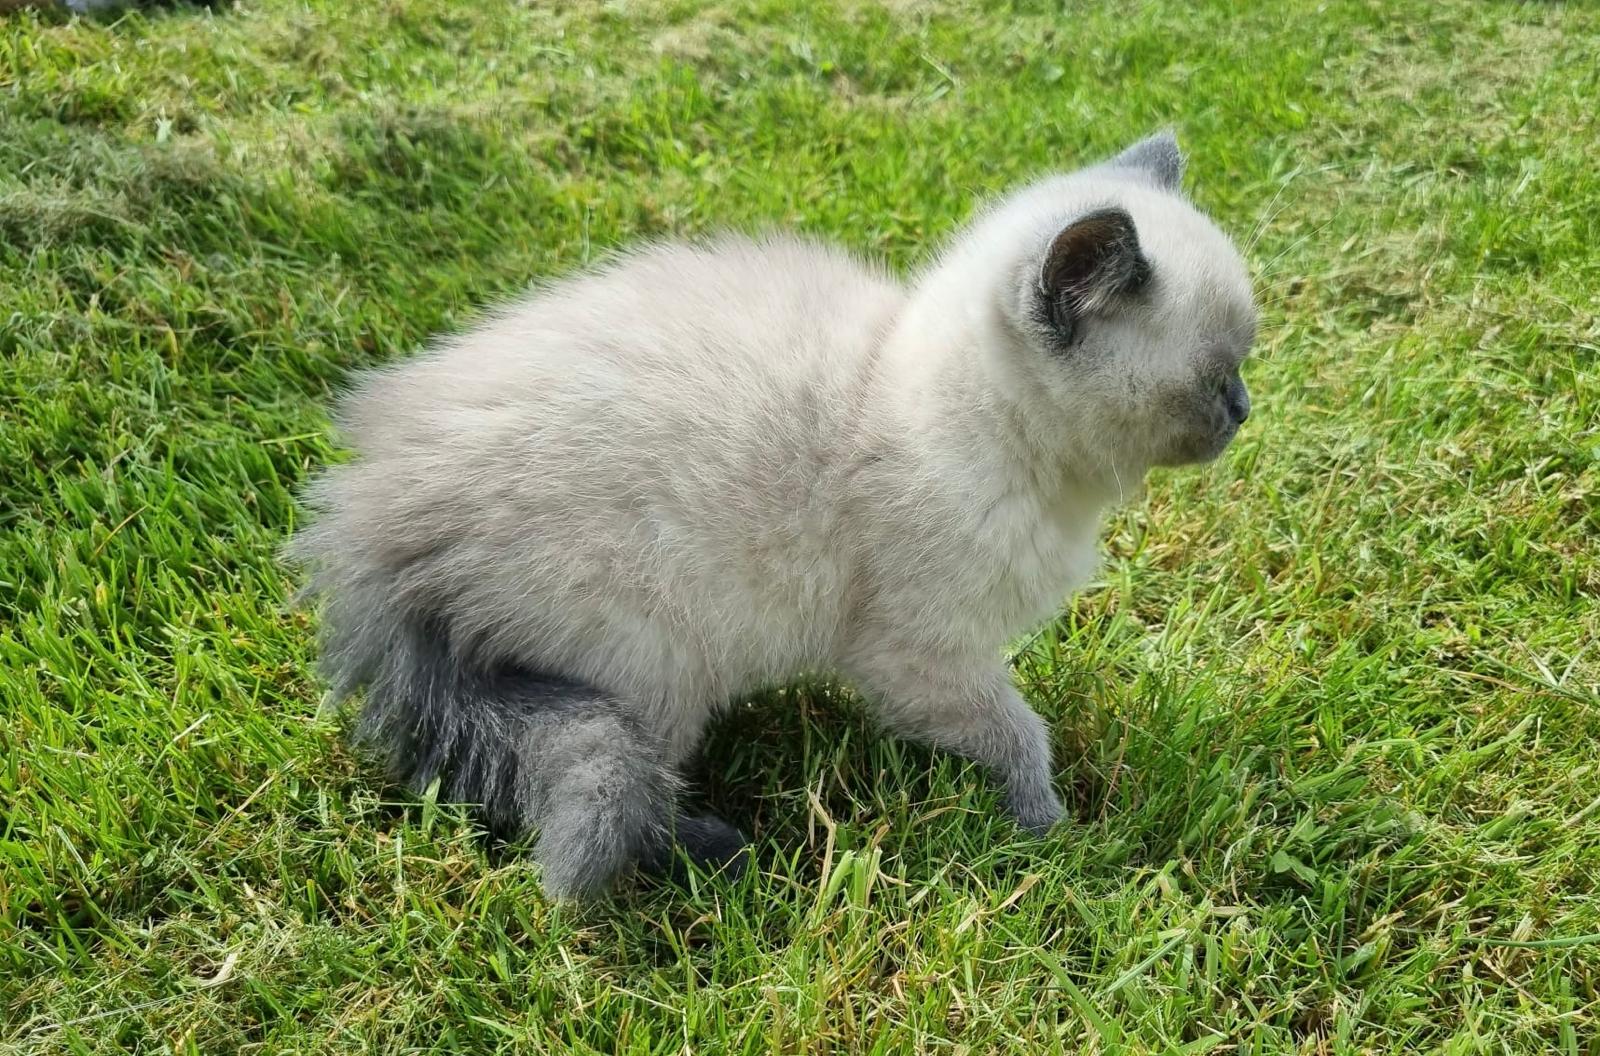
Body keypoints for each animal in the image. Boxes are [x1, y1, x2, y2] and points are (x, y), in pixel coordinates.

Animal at [294, 128, 1254, 896]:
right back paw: (727, 851)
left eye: (1241, 365)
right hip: (662, 654)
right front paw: (1052, 830)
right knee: (639, 787)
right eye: (1216, 377)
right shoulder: (920, 659)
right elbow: (1021, 734)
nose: (1246, 411)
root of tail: (367, 533)